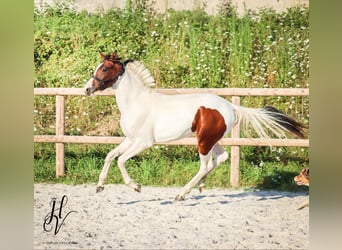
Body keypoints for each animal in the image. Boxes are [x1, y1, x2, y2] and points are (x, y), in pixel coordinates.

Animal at [84, 52, 306, 201]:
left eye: (104, 68)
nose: (87, 89)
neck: (136, 102)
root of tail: (231, 106)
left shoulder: (144, 142)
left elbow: (121, 160)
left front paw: (136, 186)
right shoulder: (130, 139)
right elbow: (110, 156)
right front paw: (99, 186)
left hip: (203, 141)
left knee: (205, 165)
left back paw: (182, 194)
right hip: (211, 140)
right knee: (221, 157)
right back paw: (199, 186)